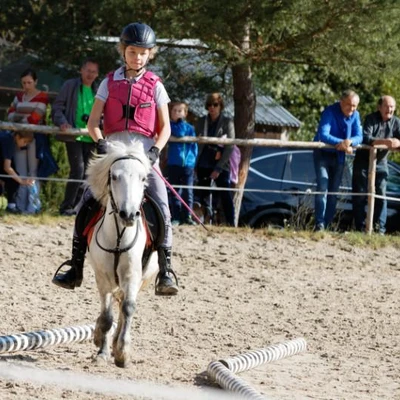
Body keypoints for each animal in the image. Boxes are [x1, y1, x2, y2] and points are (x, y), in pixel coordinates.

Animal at [85, 139, 158, 368]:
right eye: (115, 176)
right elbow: (107, 317)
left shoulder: (132, 276)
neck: (118, 236)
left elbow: (128, 309)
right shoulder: (103, 277)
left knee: (124, 307)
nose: (128, 215)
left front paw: (122, 352)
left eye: (143, 178)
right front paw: (102, 349)